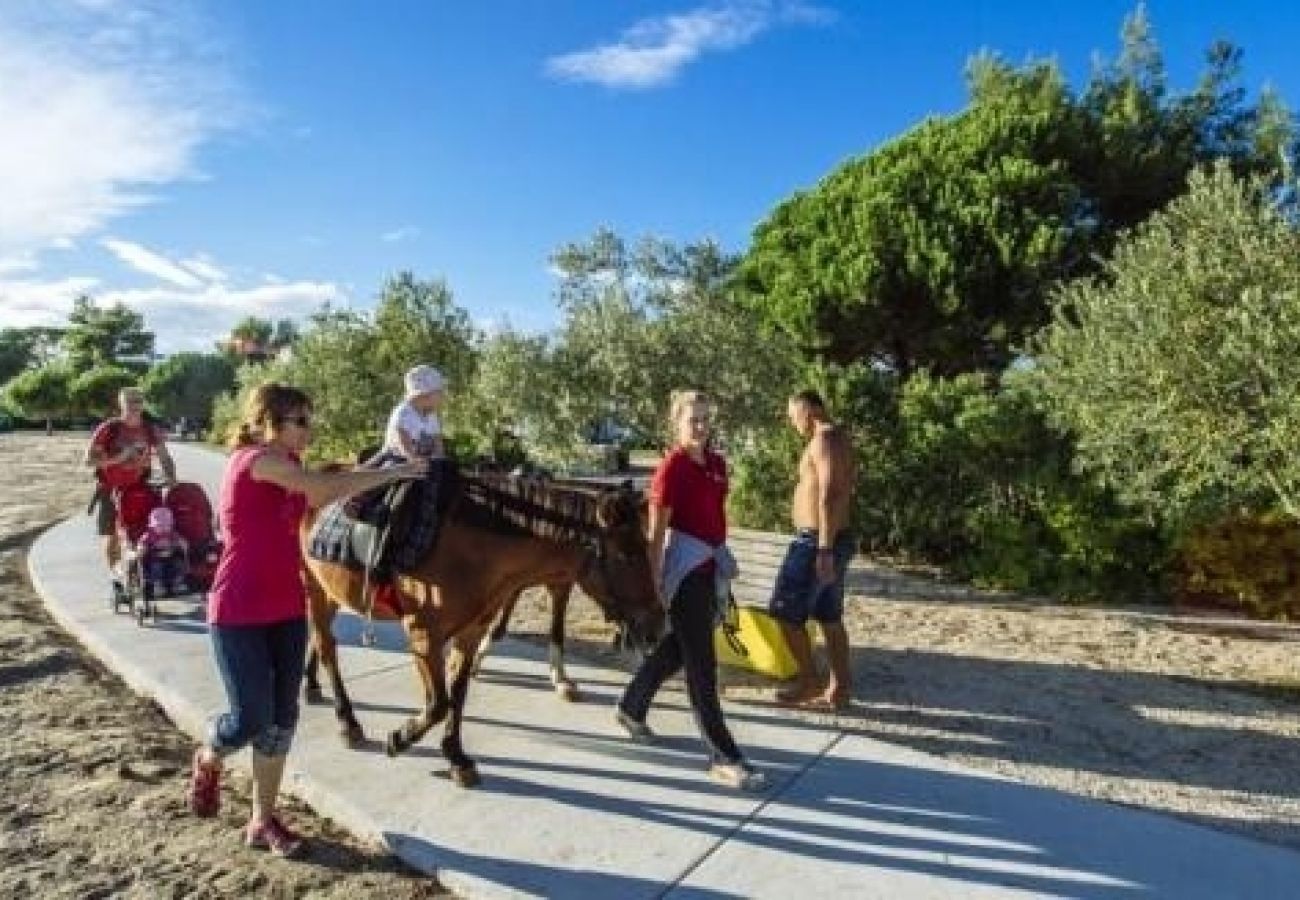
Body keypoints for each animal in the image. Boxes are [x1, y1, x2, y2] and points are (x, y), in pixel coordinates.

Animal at [297, 470, 655, 785]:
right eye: (626, 555)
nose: (658, 622)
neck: (468, 547)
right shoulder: (424, 636)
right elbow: (438, 703)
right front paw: (399, 739)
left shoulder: (469, 633)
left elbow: (457, 695)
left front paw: (456, 757)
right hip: (313, 587)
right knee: (327, 646)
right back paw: (348, 722)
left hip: (329, 592)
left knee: (319, 638)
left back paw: (312, 687)